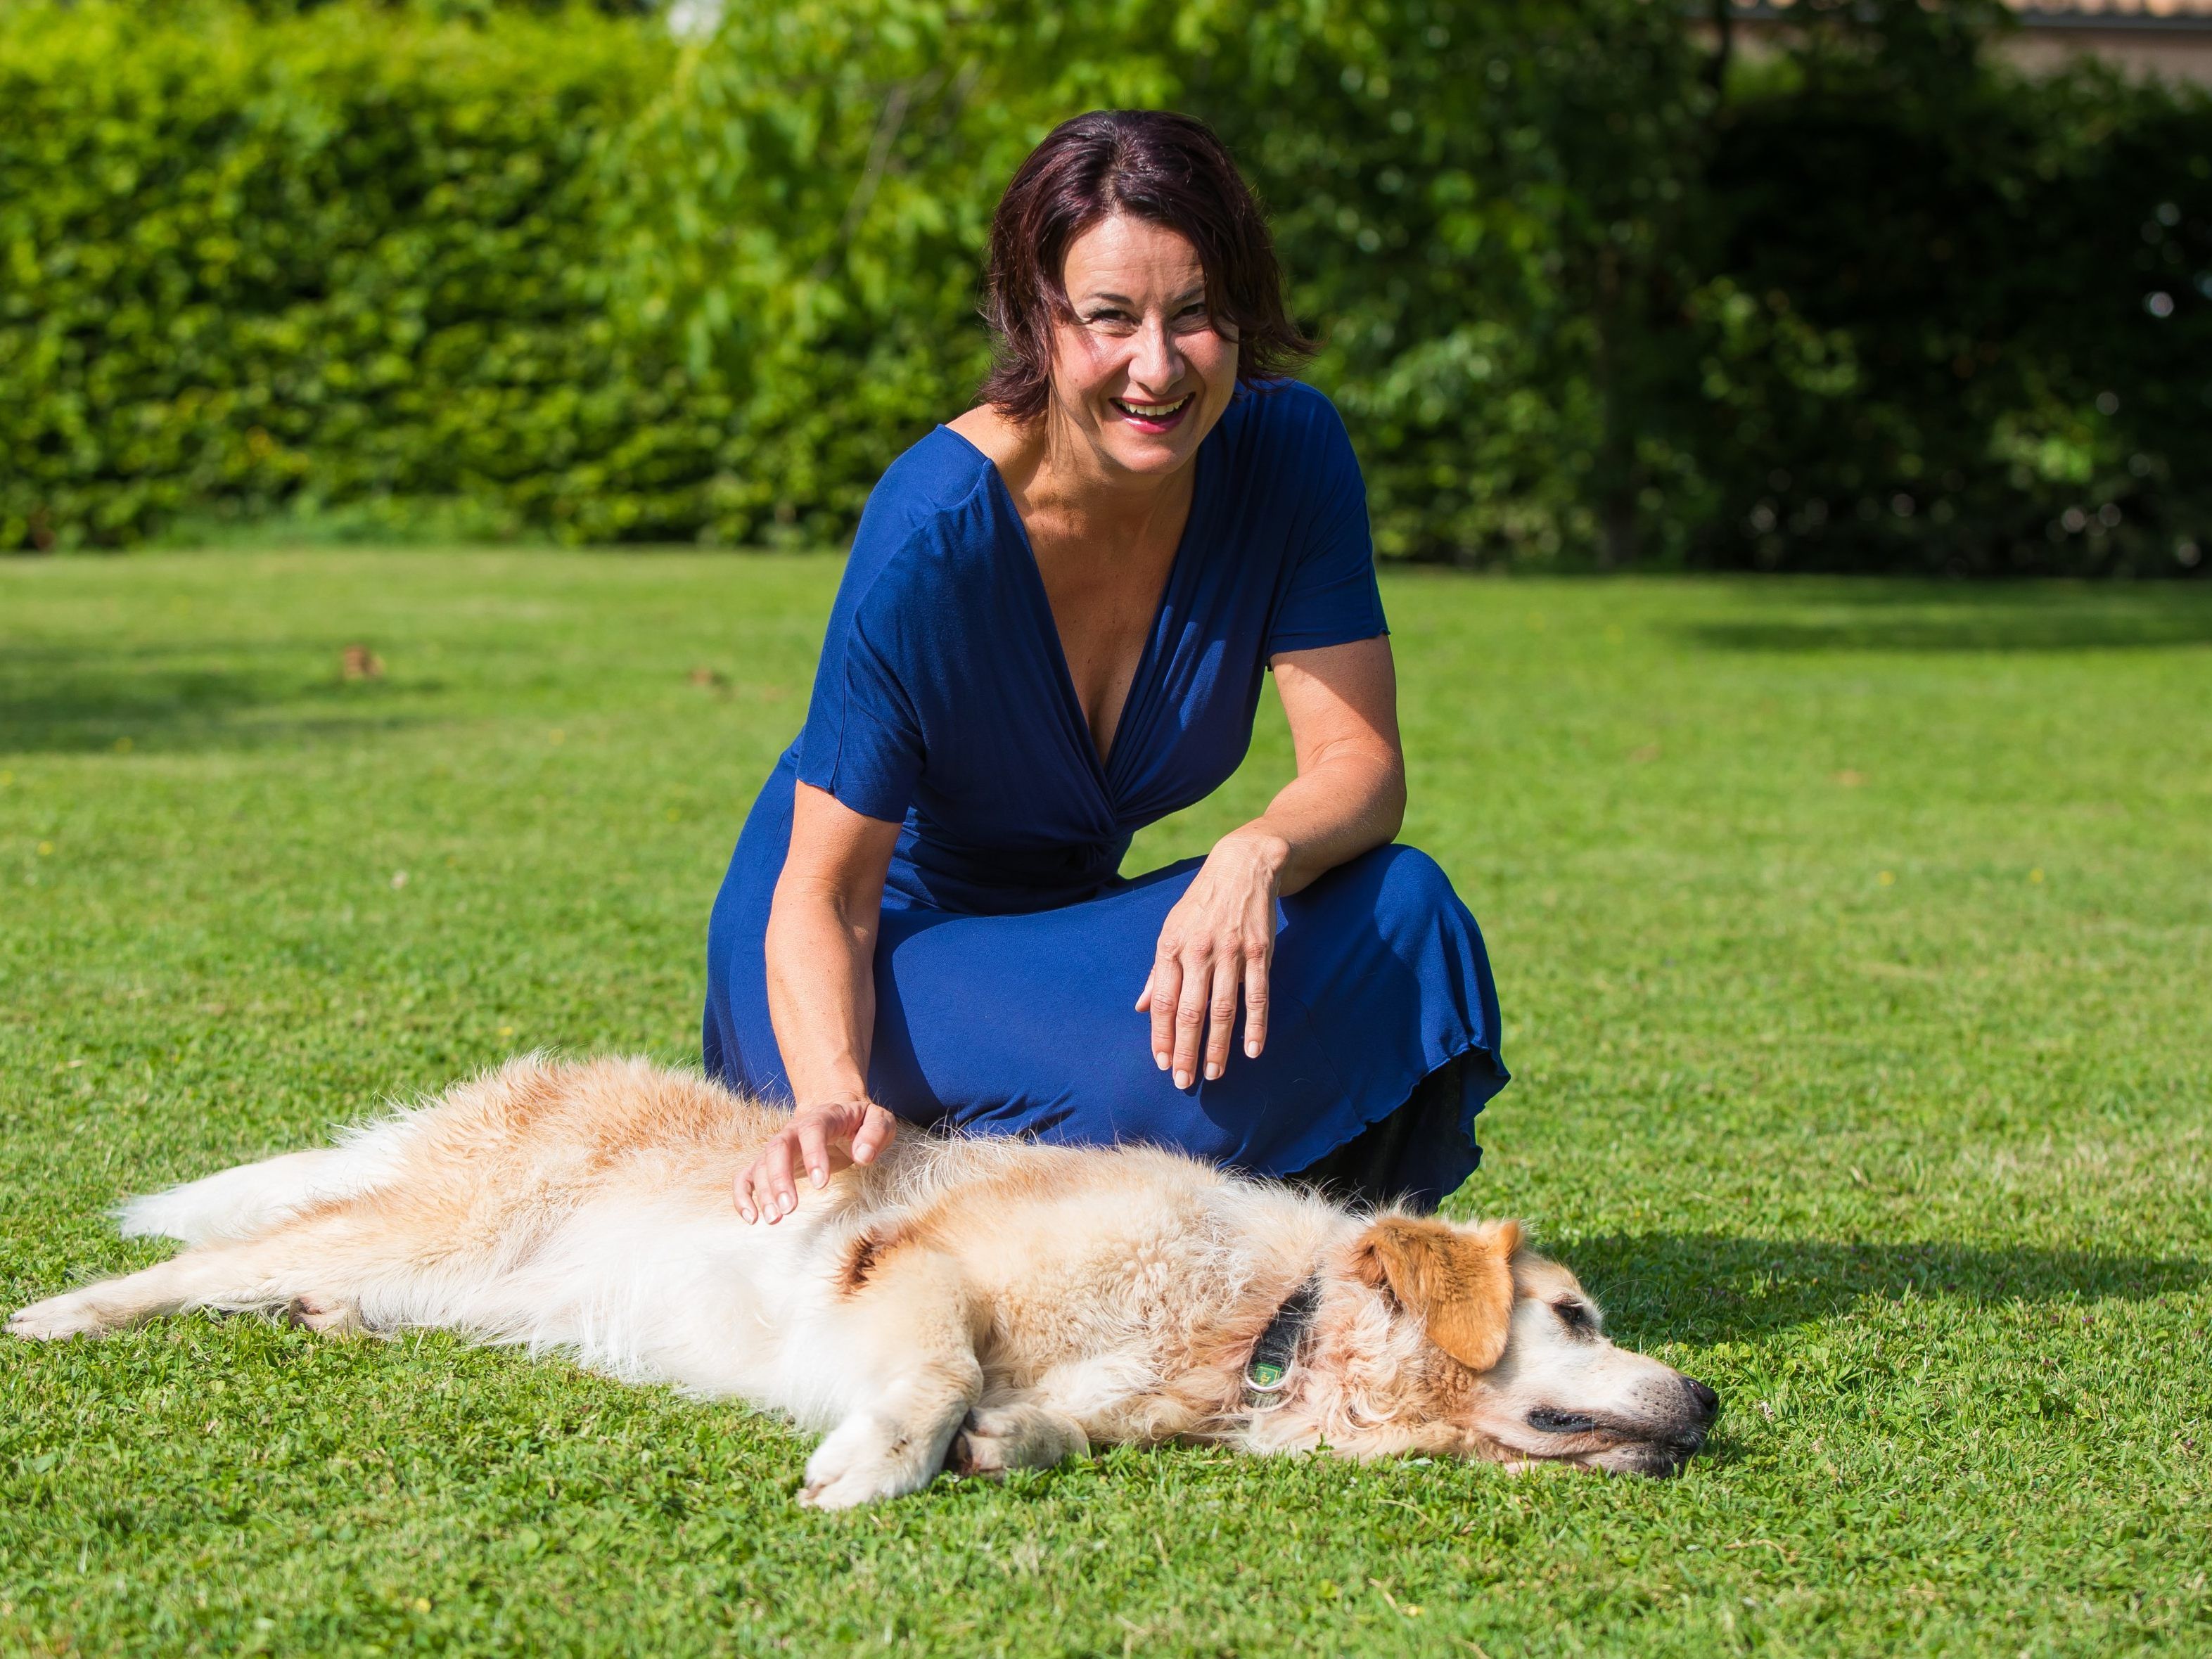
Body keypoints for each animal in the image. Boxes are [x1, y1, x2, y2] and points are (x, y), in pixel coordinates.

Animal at [8, 1057, 1716, 1513]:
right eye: (1576, 1317)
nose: (1710, 1399)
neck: (1259, 1328)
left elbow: (1038, 1422)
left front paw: (1004, 1443)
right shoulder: (914, 1267)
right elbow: (940, 1368)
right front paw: (876, 1466)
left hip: (466, 1284)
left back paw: (319, 1323)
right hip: (425, 1226)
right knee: (212, 1255)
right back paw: (65, 1312)